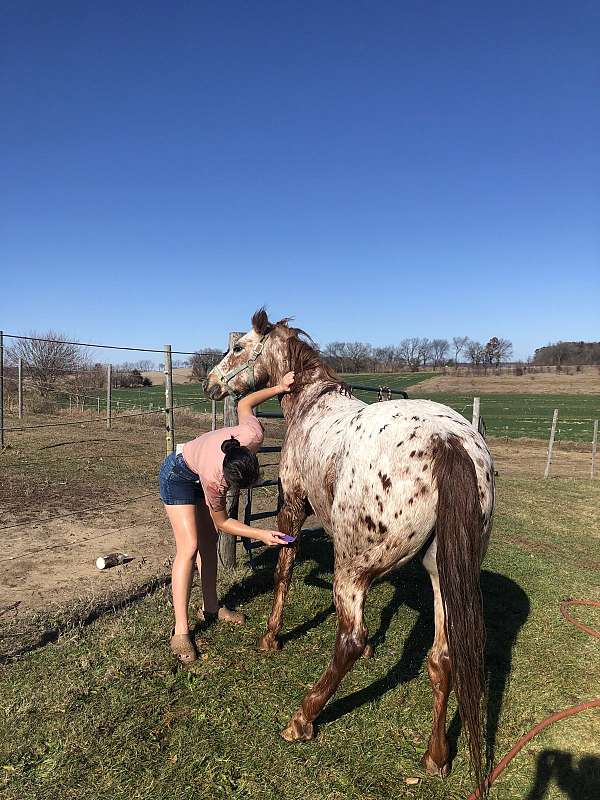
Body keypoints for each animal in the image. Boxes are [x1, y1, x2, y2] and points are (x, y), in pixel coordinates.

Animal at [205, 309, 495, 788]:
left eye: (238, 347)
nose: (210, 382)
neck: (312, 408)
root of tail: (447, 443)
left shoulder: (292, 508)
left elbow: (284, 570)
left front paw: (271, 636)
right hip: (442, 574)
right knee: (443, 657)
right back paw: (435, 757)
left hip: (353, 570)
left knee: (349, 640)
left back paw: (302, 719)